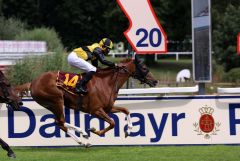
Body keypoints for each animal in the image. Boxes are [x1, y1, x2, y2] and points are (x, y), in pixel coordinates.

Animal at [29, 56, 158, 147]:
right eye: (145, 68)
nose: (155, 81)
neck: (107, 82)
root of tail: (33, 83)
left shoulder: (108, 108)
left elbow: (126, 110)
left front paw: (129, 130)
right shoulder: (96, 110)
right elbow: (112, 123)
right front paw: (95, 131)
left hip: (51, 105)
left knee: (59, 122)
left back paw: (83, 142)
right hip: (56, 100)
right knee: (61, 121)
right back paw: (83, 132)